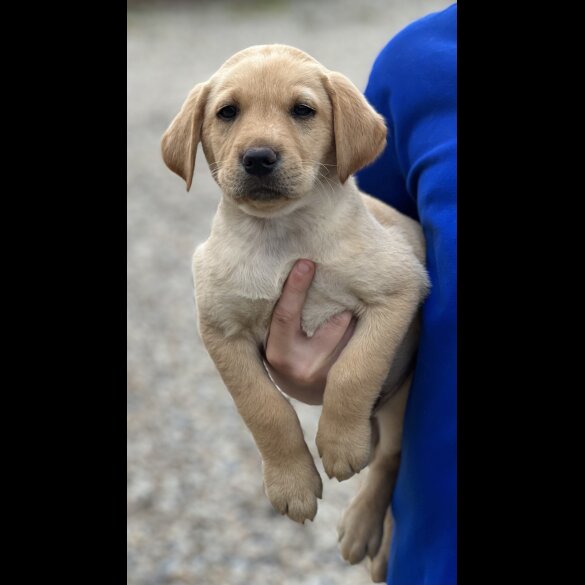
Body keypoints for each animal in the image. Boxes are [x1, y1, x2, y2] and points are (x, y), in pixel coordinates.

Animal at [160, 44, 428, 580]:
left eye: (303, 110)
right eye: (227, 113)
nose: (258, 157)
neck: (281, 235)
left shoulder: (400, 288)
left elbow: (353, 371)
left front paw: (341, 443)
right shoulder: (220, 331)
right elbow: (265, 409)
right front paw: (292, 483)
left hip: (401, 399)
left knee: (390, 456)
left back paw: (366, 527)